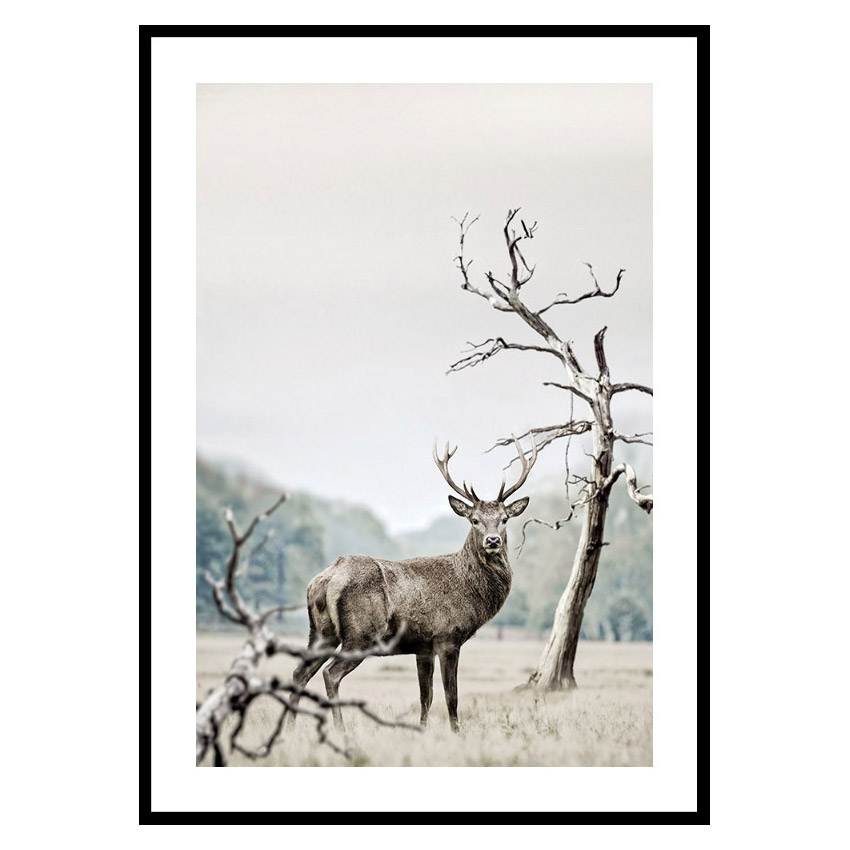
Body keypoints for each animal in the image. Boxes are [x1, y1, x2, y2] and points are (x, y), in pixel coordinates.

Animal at [288, 435, 537, 733]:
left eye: (504, 519)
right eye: (474, 520)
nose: (492, 540)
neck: (469, 591)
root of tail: (326, 578)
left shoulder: (423, 647)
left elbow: (425, 696)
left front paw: (422, 730)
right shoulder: (447, 637)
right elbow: (451, 695)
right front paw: (456, 732)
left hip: (321, 632)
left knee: (299, 672)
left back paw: (289, 728)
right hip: (361, 633)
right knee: (330, 673)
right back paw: (340, 729)